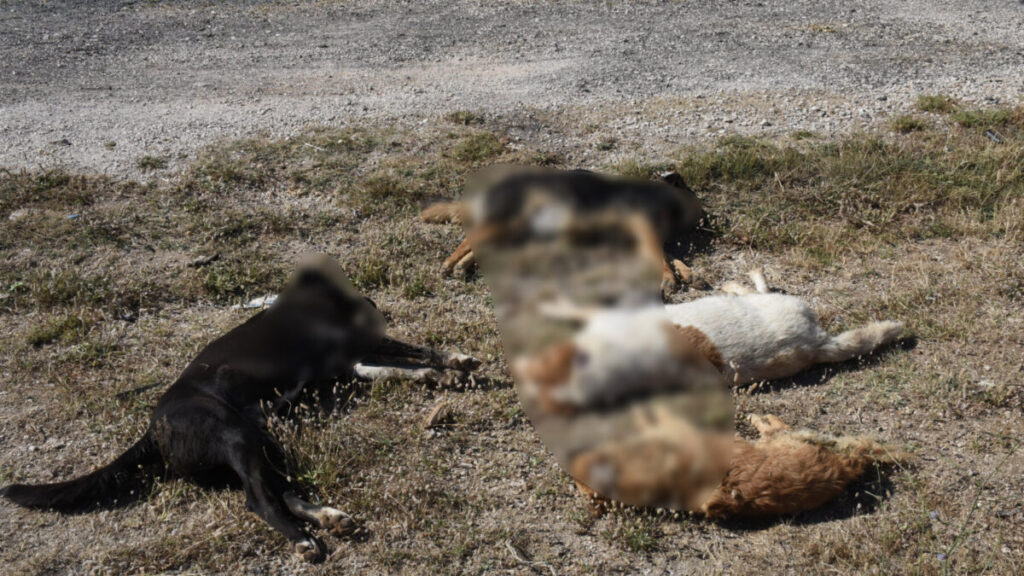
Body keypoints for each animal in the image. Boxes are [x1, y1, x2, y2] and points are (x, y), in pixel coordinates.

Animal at [1, 255, 478, 562]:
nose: (371, 304)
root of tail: (152, 431)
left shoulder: (352, 363)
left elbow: (404, 364)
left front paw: (446, 372)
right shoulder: (355, 348)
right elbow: (411, 349)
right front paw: (455, 363)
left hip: (266, 442)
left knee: (280, 491)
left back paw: (329, 517)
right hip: (238, 437)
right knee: (259, 501)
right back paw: (303, 541)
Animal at [420, 166, 704, 294]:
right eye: (692, 193)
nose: (703, 221)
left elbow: (669, 255)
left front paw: (688, 273)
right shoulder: (643, 228)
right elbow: (661, 255)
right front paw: (669, 278)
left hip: (521, 231)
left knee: (481, 245)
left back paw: (462, 266)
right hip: (513, 221)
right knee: (470, 238)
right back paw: (450, 263)